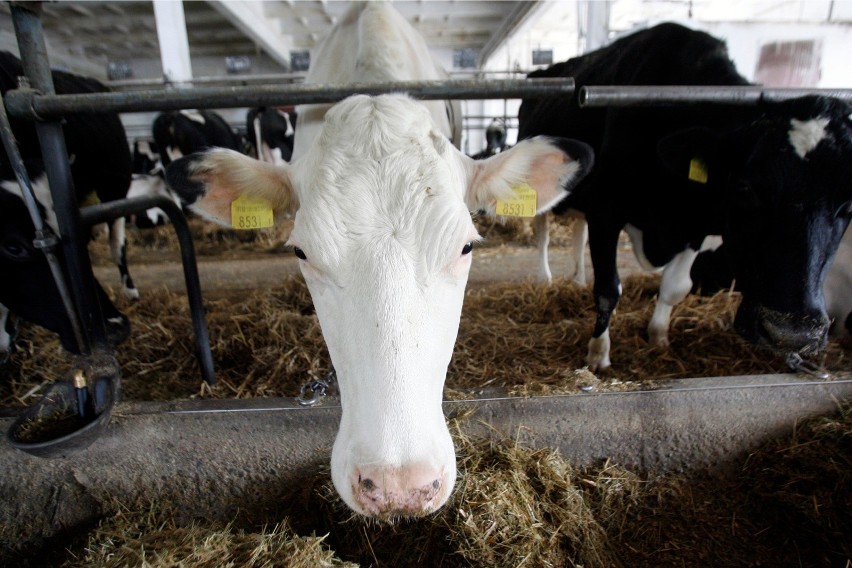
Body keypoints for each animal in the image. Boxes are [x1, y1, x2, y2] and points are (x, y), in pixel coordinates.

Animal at [516, 22, 852, 370]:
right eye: (745, 188)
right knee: (542, 235)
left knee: (578, 234)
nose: (792, 334)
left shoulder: (699, 223)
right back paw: (545, 279)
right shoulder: (606, 210)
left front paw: (658, 337)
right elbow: (608, 288)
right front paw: (598, 354)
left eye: (849, 202)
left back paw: (578, 279)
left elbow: (675, 287)